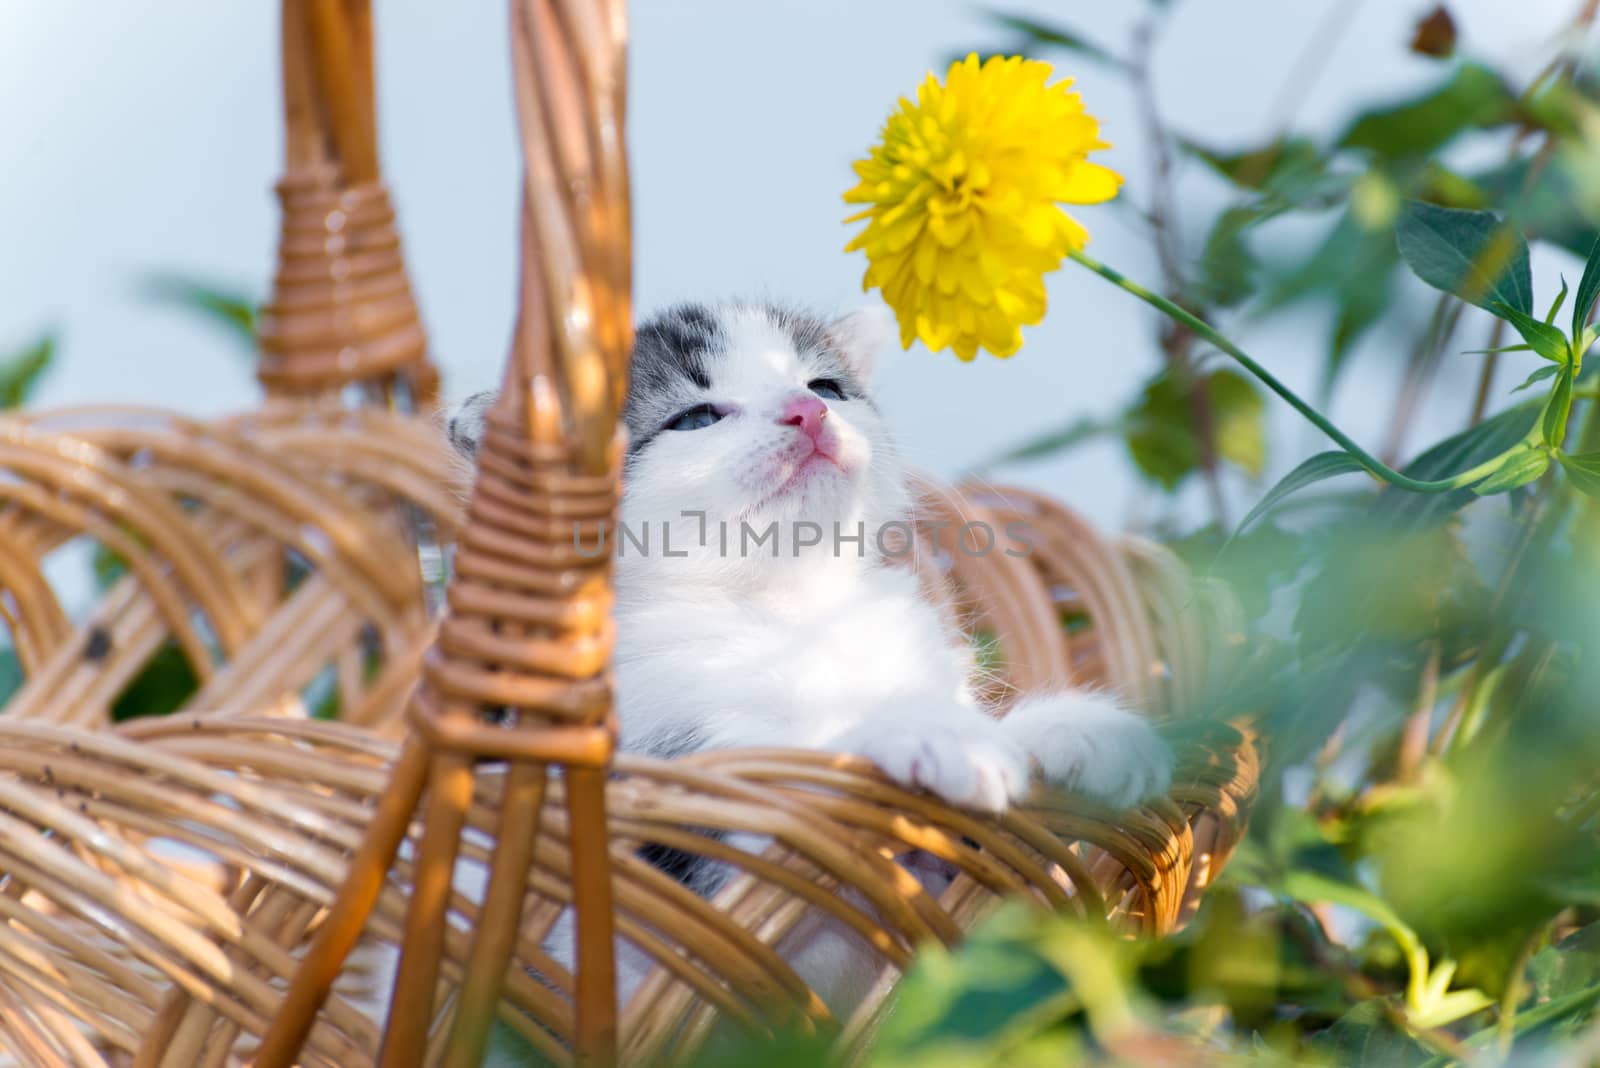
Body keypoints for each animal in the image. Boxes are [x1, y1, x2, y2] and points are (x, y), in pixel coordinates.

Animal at [444, 300, 1171, 1023]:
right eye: (696, 417)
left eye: (826, 387)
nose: (807, 412)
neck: (793, 604)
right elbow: (792, 794)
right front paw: (931, 737)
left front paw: (1064, 729)